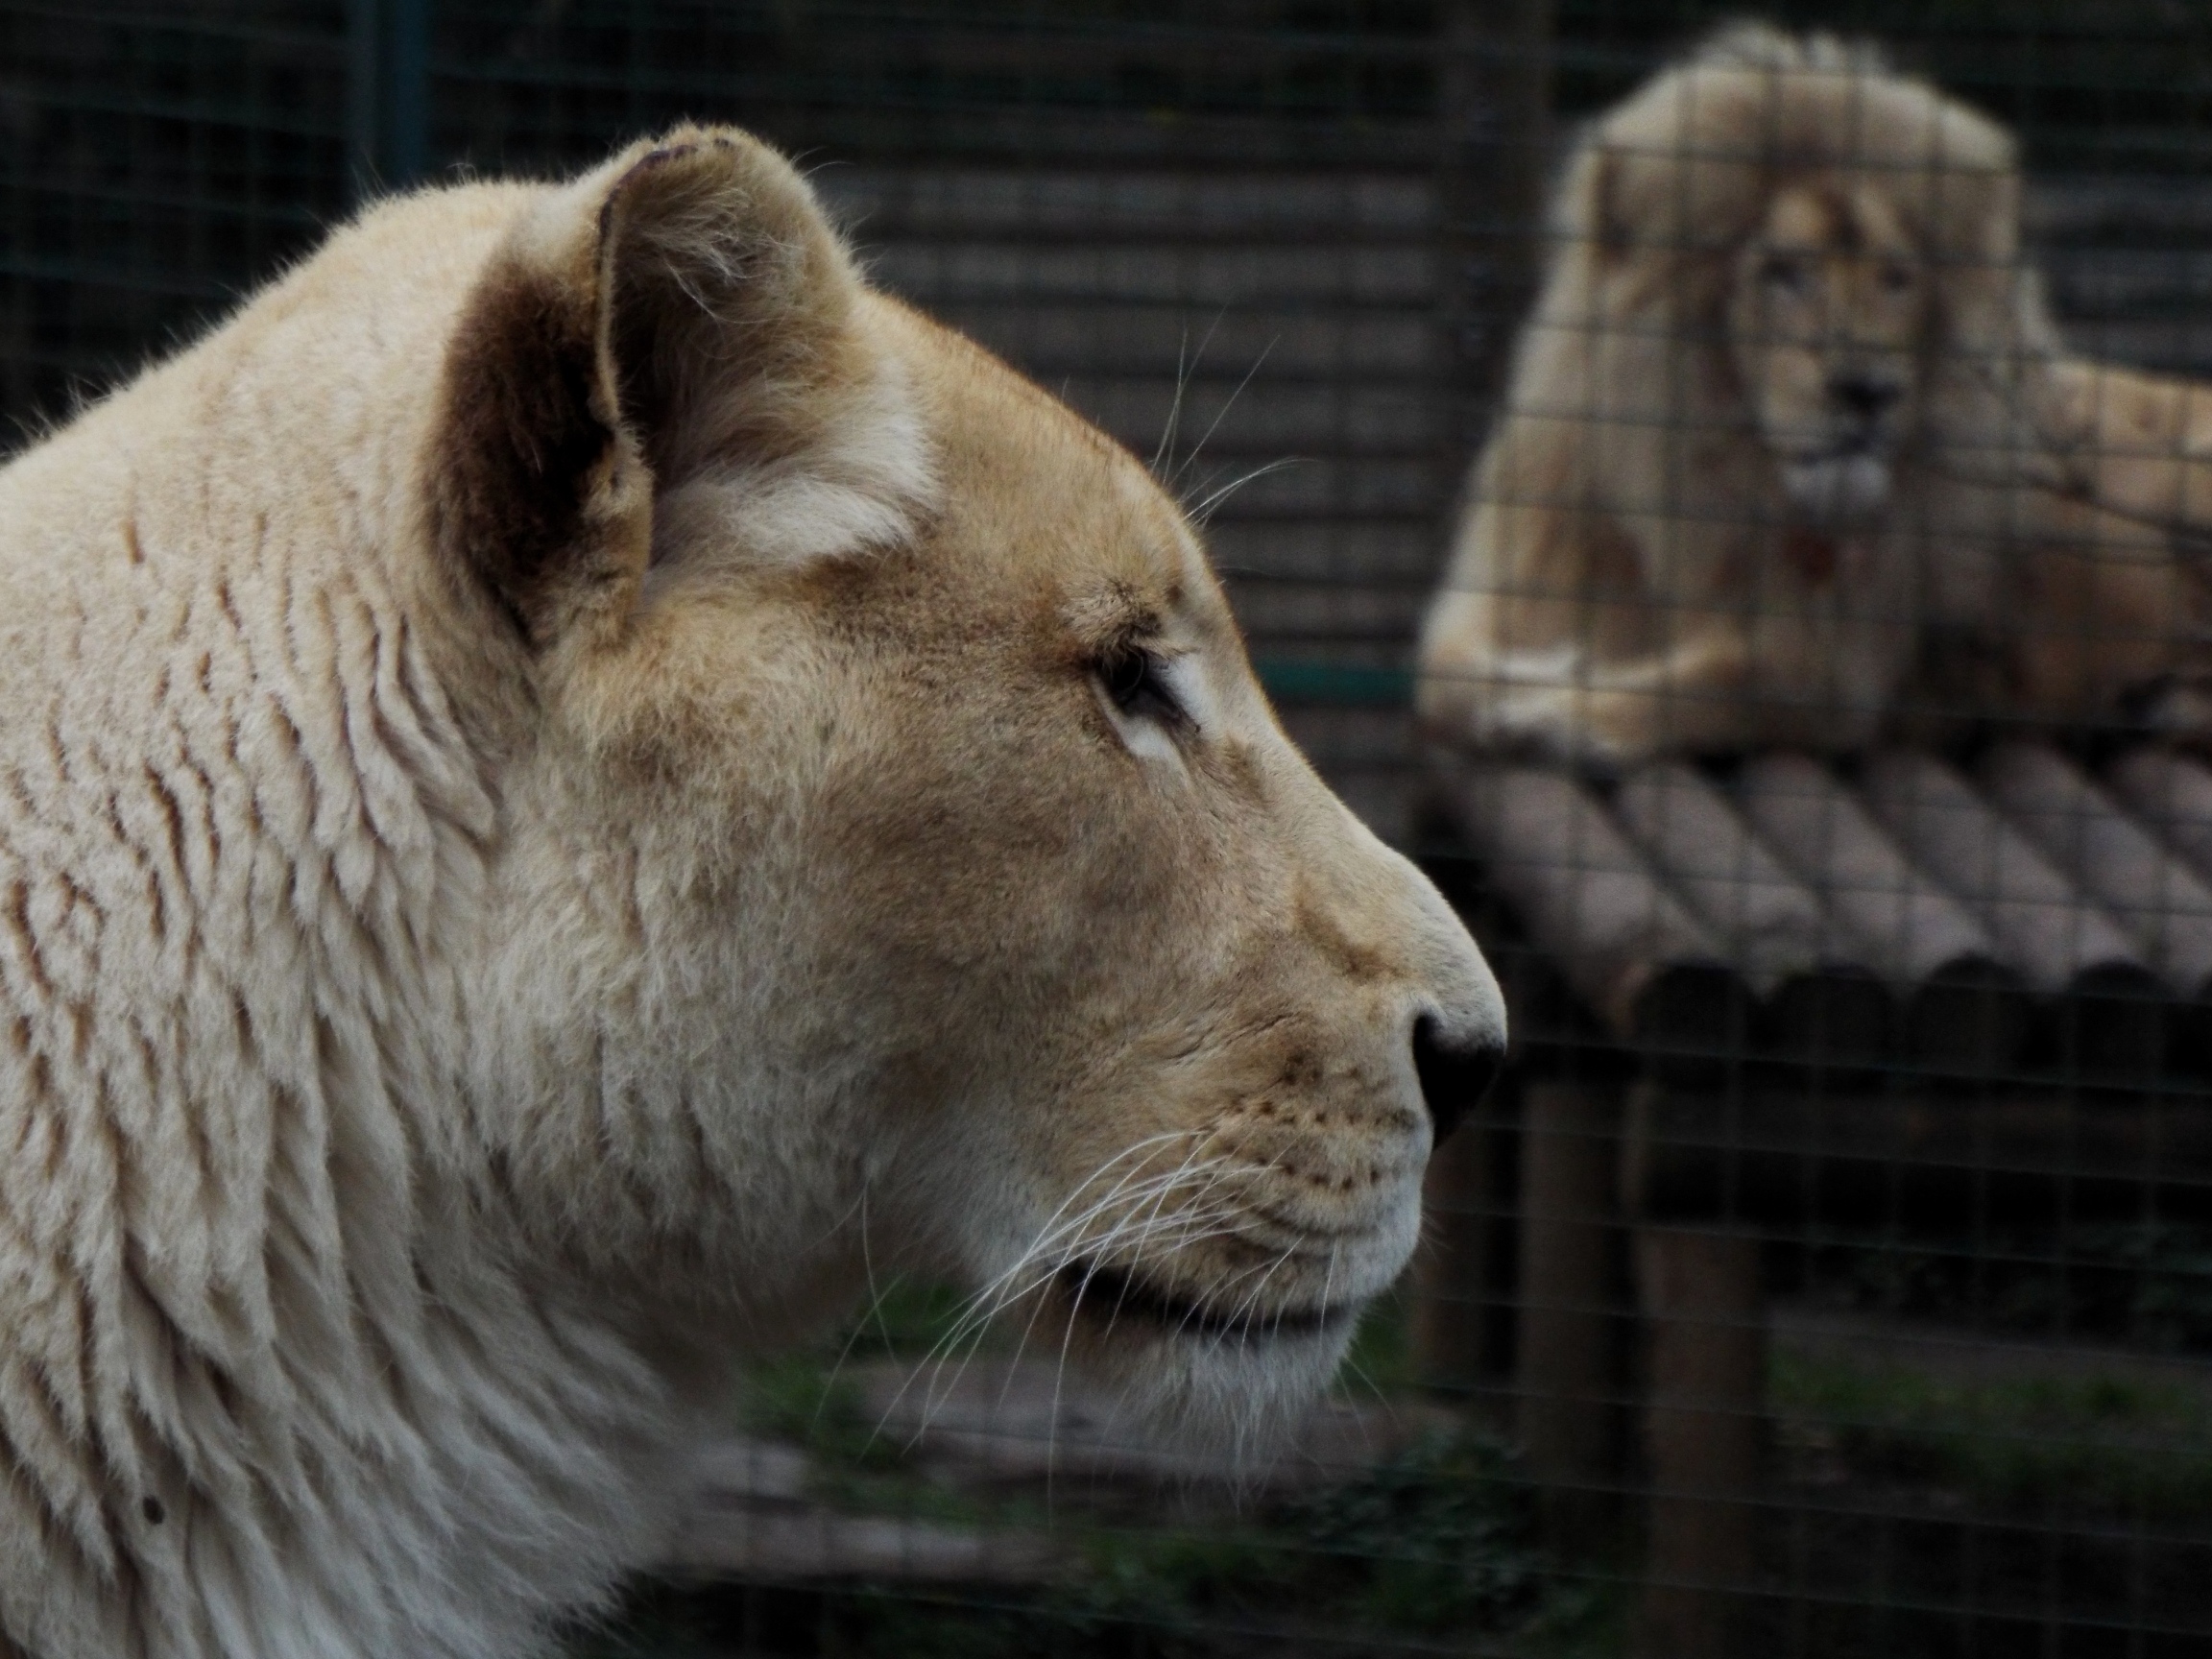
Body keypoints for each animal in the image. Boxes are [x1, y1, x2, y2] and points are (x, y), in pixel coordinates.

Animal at [1417, 23, 2212, 766]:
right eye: (1785, 273)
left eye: (1896, 279)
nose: (1869, 391)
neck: (1713, 484)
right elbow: (1440, 677)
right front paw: (1530, 675)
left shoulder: (1832, 671)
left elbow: (1712, 687)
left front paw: (1560, 712)